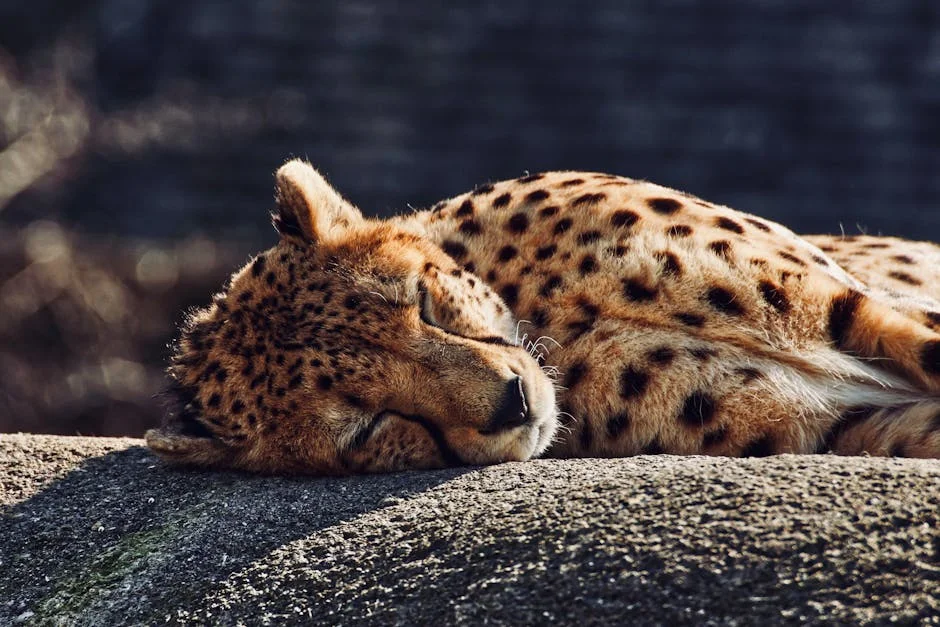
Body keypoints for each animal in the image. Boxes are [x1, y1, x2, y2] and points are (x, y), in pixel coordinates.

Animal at [146, 159, 940, 474]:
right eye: (369, 426)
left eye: (421, 302)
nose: (513, 402)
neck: (548, 323)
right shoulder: (837, 427)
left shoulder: (848, 306)